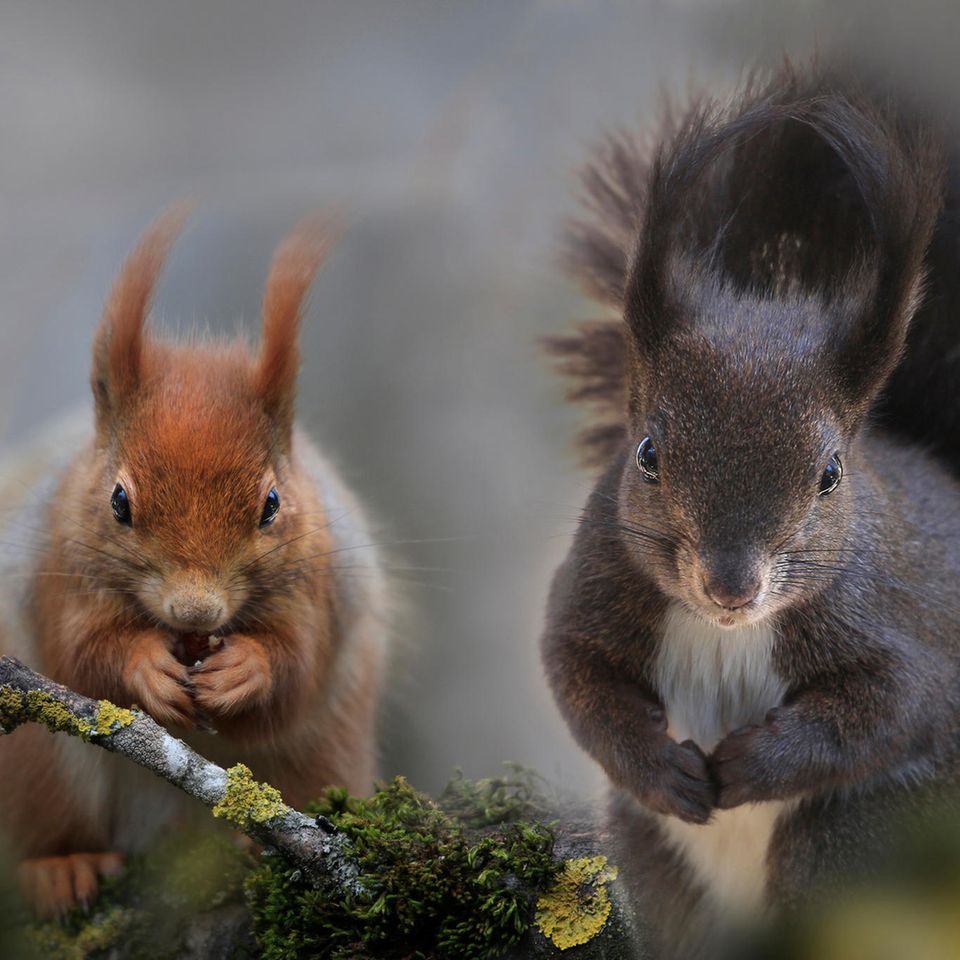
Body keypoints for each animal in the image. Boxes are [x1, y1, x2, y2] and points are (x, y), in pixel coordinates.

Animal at [0, 210, 390, 916]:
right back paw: (62, 868)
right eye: (118, 500)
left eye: (272, 503)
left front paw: (246, 669)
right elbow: (81, 652)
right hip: (35, 769)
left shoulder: (320, 586)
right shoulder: (55, 569)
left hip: (326, 755)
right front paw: (143, 666)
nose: (195, 611)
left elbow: (300, 662)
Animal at [542, 64, 960, 958]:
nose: (731, 586)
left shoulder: (905, 625)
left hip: (851, 841)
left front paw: (751, 767)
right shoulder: (590, 586)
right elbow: (575, 677)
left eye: (831, 473)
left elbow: (895, 707)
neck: (724, 634)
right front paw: (661, 768)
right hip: (654, 864)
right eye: (647, 453)